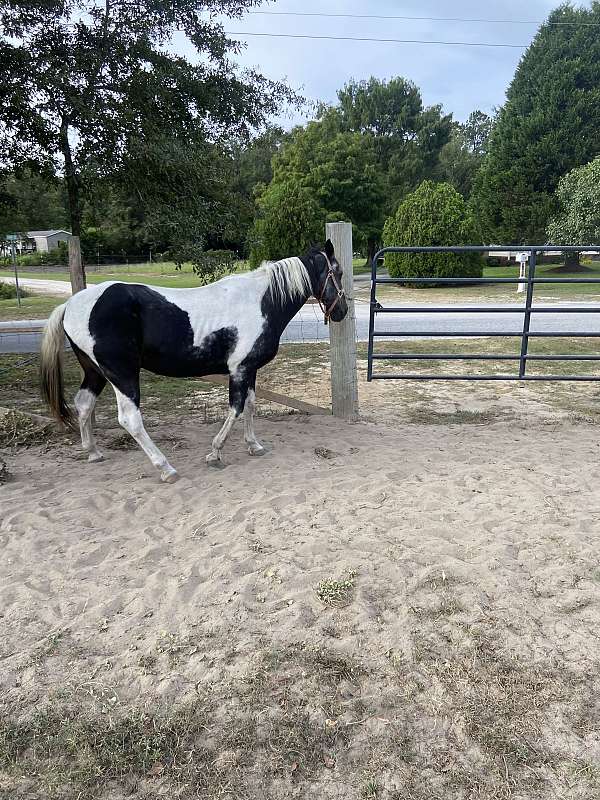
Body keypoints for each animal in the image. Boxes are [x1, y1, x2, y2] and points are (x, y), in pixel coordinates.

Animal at [39, 241, 346, 482]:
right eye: (339, 272)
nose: (341, 311)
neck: (262, 302)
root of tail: (70, 305)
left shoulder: (250, 369)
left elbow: (250, 406)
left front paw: (254, 445)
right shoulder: (239, 370)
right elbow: (235, 409)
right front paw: (215, 452)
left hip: (95, 372)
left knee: (83, 404)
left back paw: (93, 452)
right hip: (121, 373)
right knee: (130, 419)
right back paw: (165, 468)